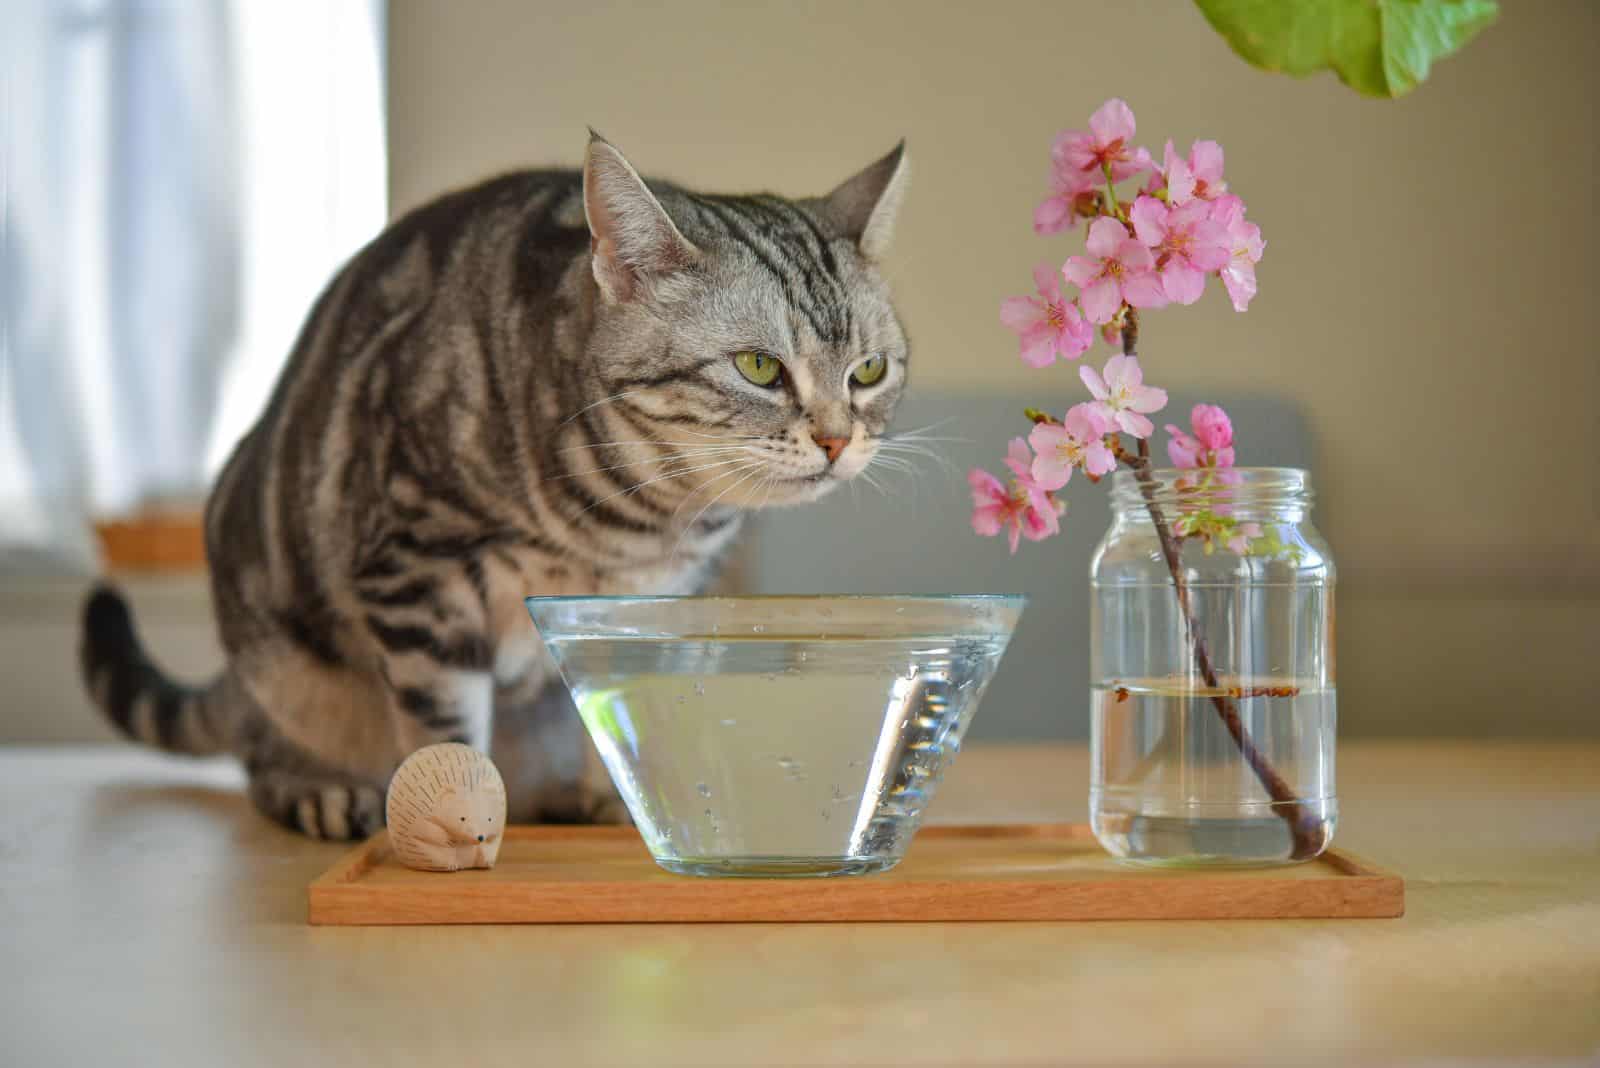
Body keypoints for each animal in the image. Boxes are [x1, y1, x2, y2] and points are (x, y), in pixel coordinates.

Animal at [81, 131, 908, 831]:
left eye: (869, 371)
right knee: (260, 755)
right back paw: (319, 790)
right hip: (282, 661)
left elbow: (637, 716)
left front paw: (630, 807)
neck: (635, 521)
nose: (838, 439)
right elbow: (446, 735)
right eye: (760, 367)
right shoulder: (418, 574)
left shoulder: (664, 603)